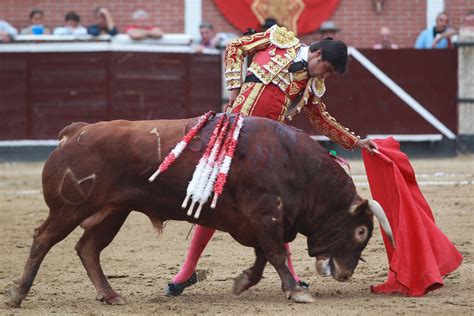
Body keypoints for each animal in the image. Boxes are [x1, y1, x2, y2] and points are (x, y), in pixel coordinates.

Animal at [7, 115, 392, 308]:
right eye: (360, 231)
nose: (345, 274)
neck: (296, 164)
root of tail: (76, 132)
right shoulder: (265, 213)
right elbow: (275, 253)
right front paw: (296, 291)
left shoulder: (256, 220)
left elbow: (263, 255)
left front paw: (244, 282)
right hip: (70, 208)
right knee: (43, 239)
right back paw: (18, 294)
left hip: (113, 212)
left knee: (88, 248)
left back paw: (112, 295)